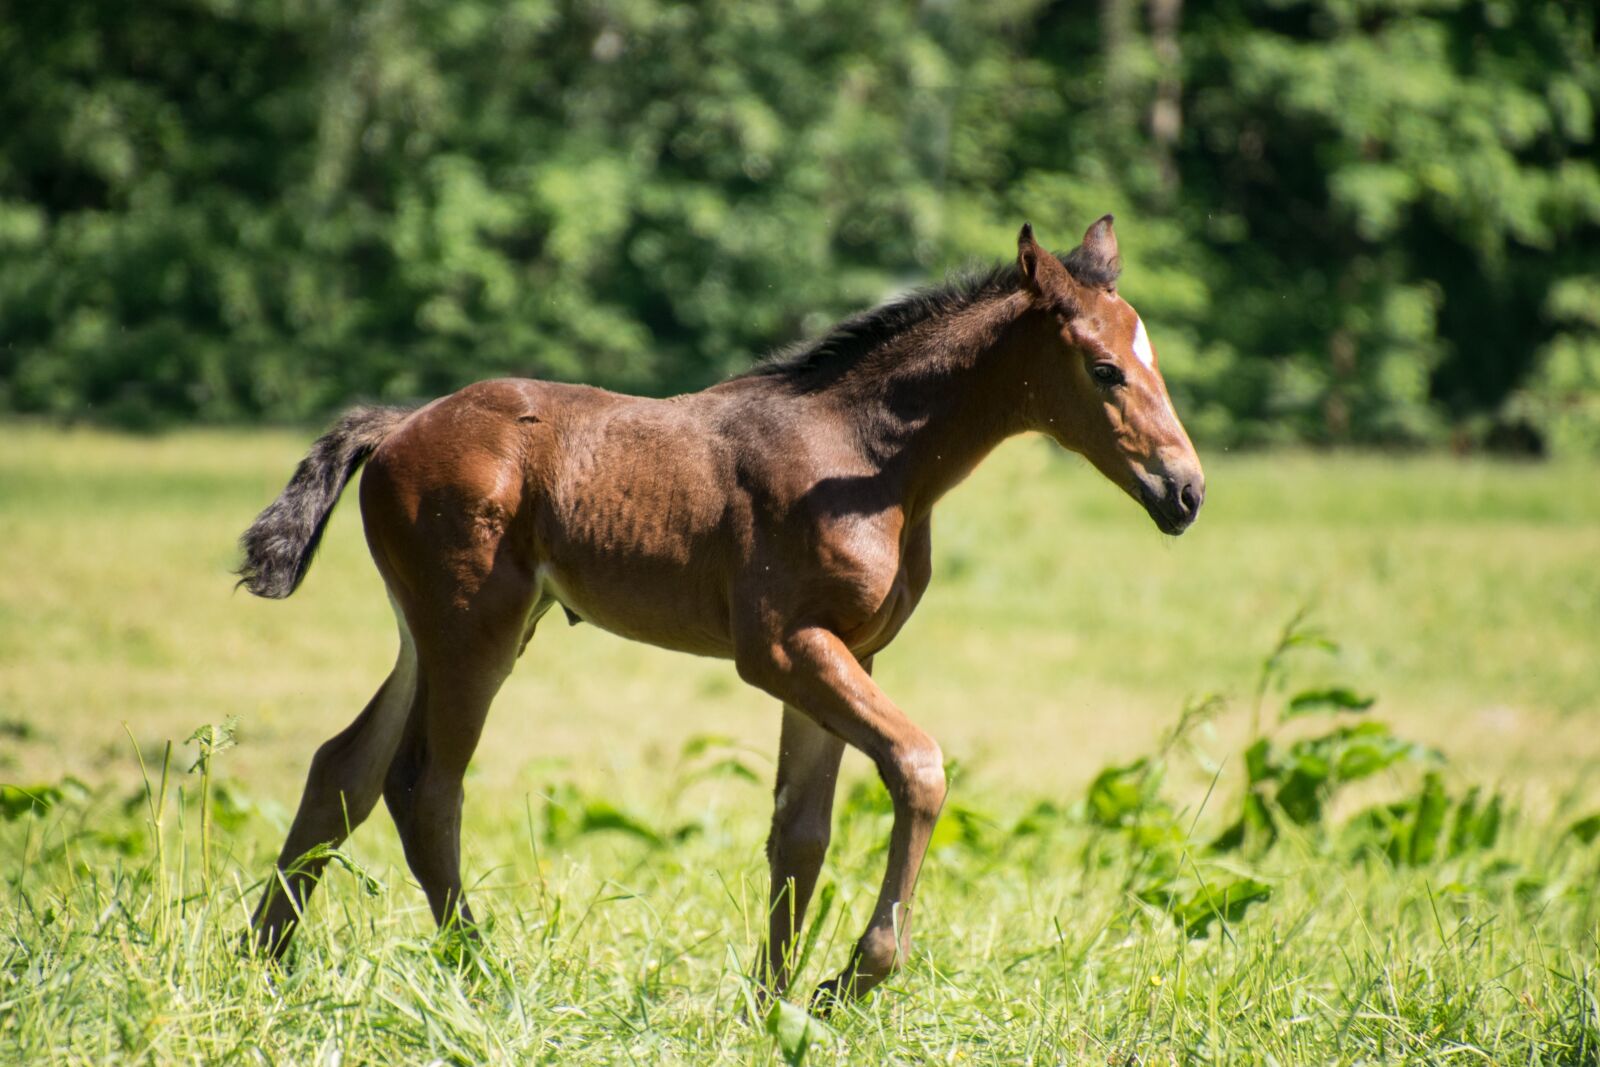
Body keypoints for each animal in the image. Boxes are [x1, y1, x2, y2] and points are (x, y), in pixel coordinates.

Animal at [239, 216, 1204, 1008]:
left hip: (439, 631)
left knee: (343, 766)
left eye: (1155, 362)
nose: (1185, 492)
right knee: (422, 785)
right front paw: (851, 979)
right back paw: (481, 973)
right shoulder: (780, 647)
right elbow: (918, 766)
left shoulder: (846, 650)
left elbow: (801, 830)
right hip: (474, 625)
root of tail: (398, 424)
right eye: (1106, 369)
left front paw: (772, 1001)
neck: (866, 461)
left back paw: (264, 961)